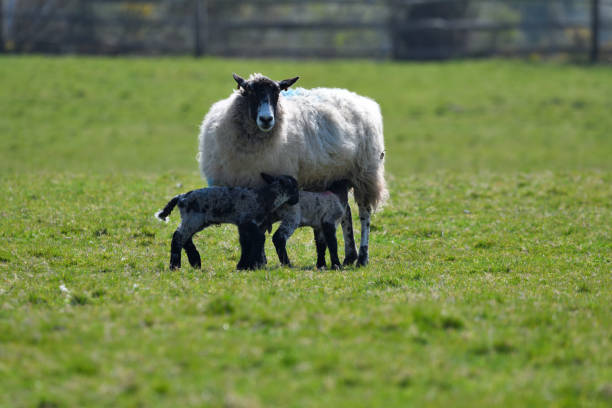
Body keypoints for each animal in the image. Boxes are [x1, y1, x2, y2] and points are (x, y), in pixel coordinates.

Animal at [155, 173, 298, 270]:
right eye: (295, 187)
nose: (296, 200)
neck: (266, 197)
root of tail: (181, 197)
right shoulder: (247, 221)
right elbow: (258, 240)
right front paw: (251, 264)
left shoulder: (245, 225)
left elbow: (247, 242)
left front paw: (245, 265)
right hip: (193, 218)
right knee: (178, 237)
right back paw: (175, 265)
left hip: (197, 221)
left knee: (185, 238)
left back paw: (195, 261)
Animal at [196, 73, 388, 268]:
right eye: (249, 91)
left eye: (277, 93)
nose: (266, 119)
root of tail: (362, 99)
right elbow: (247, 230)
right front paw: (256, 261)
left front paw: (258, 261)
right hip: (335, 177)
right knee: (346, 212)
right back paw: (350, 256)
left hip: (366, 174)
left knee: (364, 215)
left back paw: (362, 257)